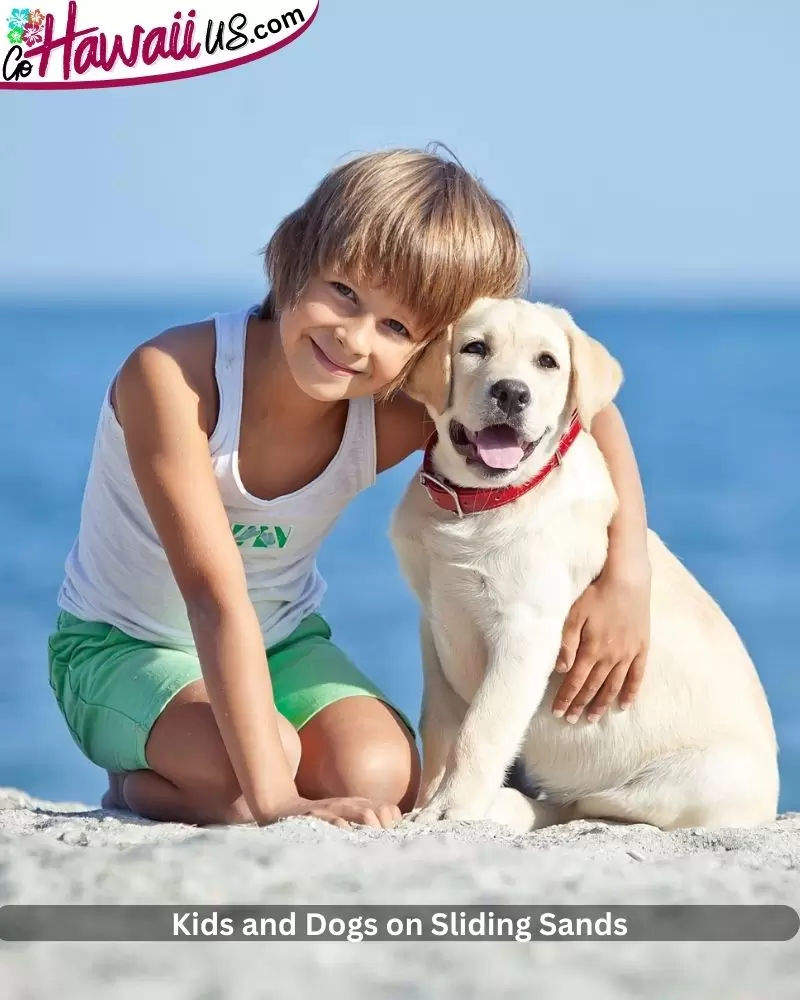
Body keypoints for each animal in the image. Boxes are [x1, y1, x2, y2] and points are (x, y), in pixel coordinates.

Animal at [390, 296, 780, 828]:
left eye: (547, 362)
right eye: (474, 348)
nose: (512, 393)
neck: (480, 504)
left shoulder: (526, 632)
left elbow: (480, 730)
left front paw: (452, 809)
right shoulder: (435, 622)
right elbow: (441, 727)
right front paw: (431, 799)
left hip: (689, 781)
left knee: (590, 804)